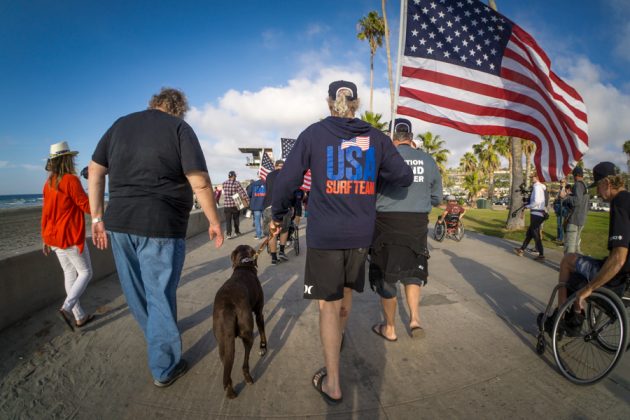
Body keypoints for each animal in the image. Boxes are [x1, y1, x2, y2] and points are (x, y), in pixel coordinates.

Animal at [215, 243, 270, 398]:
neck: (243, 264)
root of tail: (228, 307)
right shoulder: (259, 313)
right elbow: (262, 330)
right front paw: (263, 347)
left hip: (222, 341)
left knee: (227, 366)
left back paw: (230, 390)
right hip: (247, 333)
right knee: (245, 362)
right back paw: (248, 378)